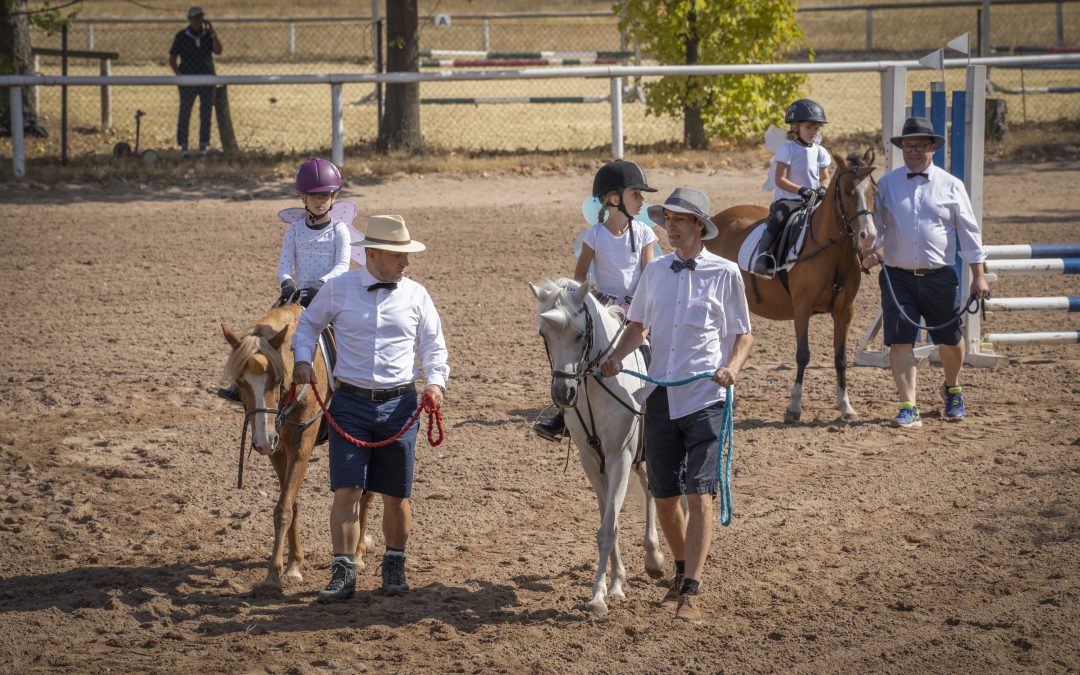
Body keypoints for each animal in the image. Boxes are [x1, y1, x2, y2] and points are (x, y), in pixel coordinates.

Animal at [219, 302, 371, 587]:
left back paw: (357, 553)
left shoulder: (302, 447)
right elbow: (292, 503)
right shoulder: (278, 451)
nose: (262, 441)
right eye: (241, 382)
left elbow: (283, 508)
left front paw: (274, 574)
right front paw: (293, 564)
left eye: (277, 380)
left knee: (367, 495)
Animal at [527, 276, 660, 613]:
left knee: (654, 491)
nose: (563, 394)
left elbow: (608, 527)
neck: (596, 384)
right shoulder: (591, 461)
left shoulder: (619, 459)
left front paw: (600, 595)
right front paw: (613, 584)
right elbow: (607, 522)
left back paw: (655, 559)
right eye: (543, 334)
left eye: (579, 334)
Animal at [708, 149, 876, 421]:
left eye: (873, 190)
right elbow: (803, 355)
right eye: (848, 191)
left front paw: (845, 406)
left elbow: (840, 358)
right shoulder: (802, 308)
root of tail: (714, 219)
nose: (868, 237)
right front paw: (794, 407)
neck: (833, 251)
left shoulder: (845, 311)